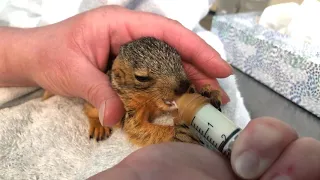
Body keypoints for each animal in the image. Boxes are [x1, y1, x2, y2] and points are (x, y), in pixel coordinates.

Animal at [43, 37, 222, 148]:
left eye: (180, 59)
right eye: (141, 77)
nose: (184, 86)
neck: (150, 102)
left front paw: (208, 94)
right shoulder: (130, 111)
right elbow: (137, 128)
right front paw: (178, 134)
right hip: (93, 105)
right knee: (88, 111)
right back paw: (98, 126)